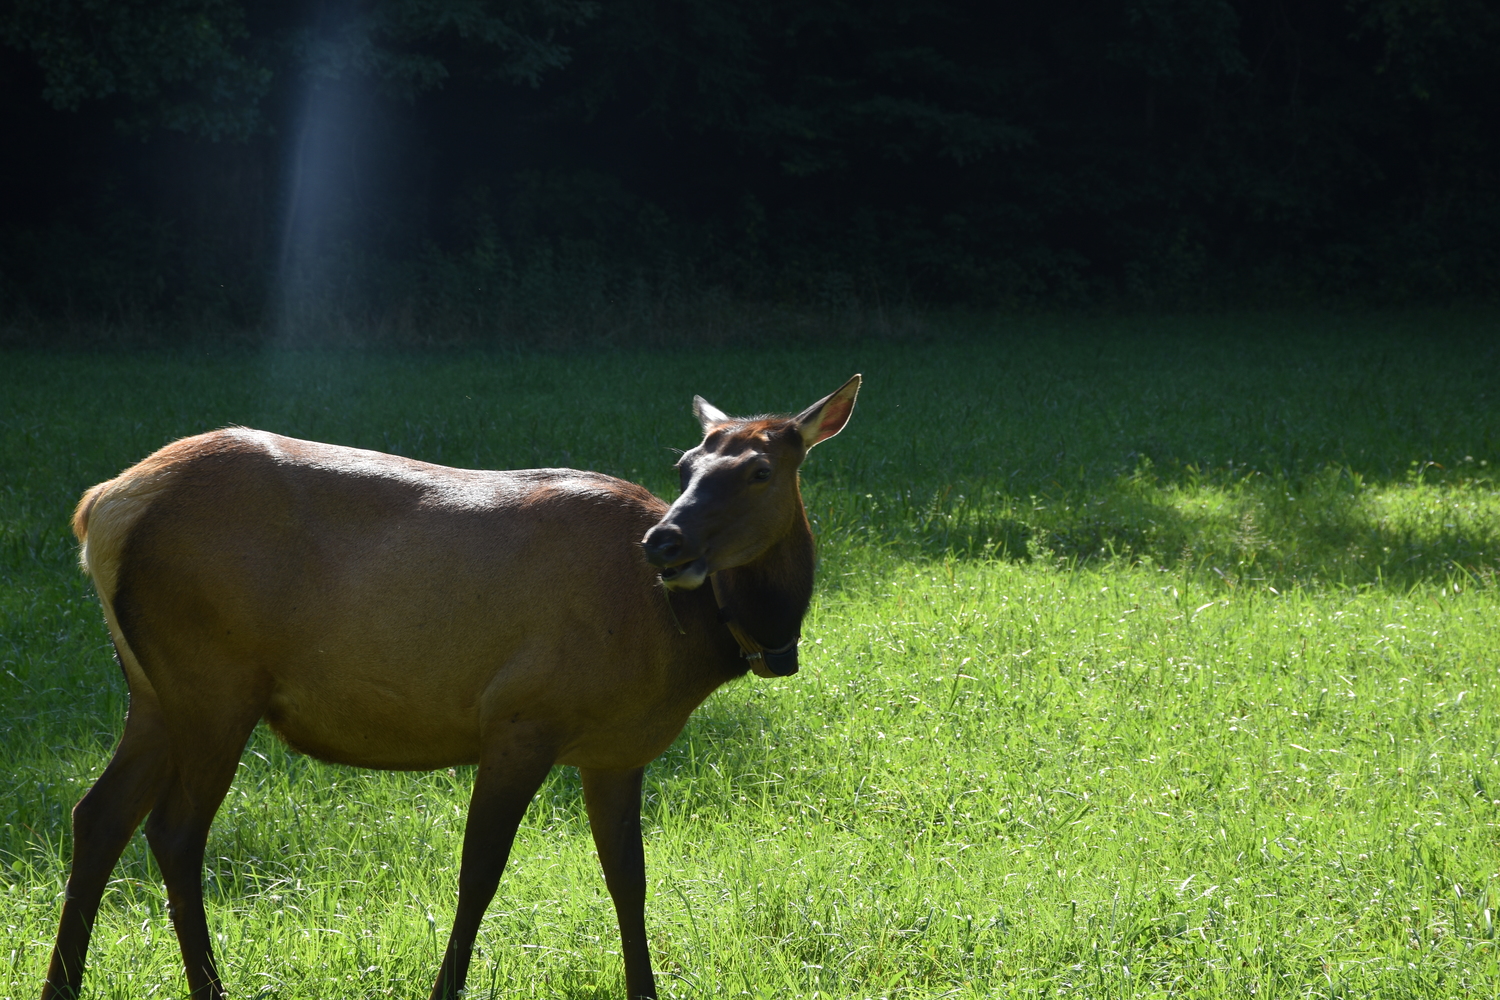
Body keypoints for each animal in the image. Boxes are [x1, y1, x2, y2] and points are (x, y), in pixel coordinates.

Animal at [41, 374, 864, 1000]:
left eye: (758, 470)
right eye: (686, 465)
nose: (664, 540)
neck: (685, 641)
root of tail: (100, 507)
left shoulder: (617, 751)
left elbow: (629, 881)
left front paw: (645, 991)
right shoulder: (522, 716)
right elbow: (480, 874)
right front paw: (446, 989)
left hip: (155, 691)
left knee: (98, 814)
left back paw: (61, 986)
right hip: (215, 678)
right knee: (175, 831)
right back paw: (209, 988)